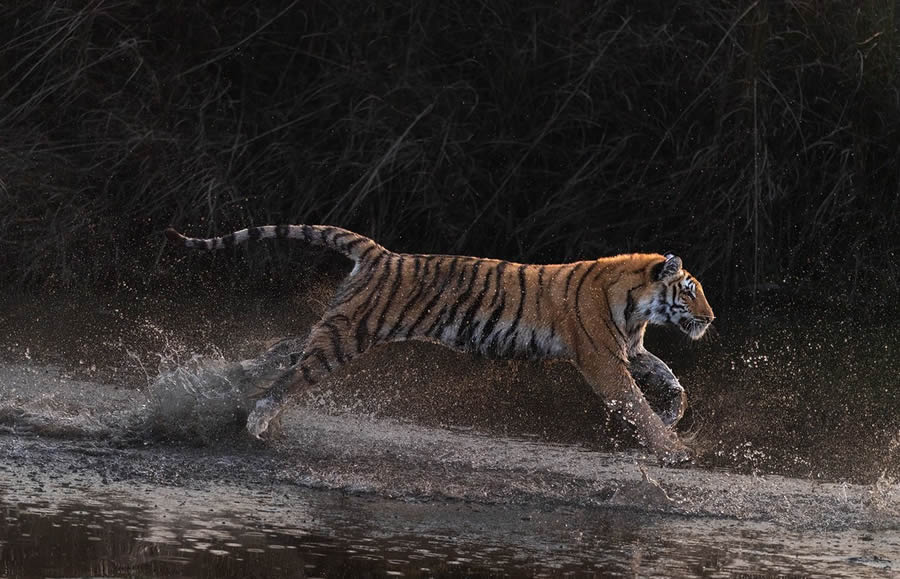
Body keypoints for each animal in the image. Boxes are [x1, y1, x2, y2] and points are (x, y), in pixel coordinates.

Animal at [165, 224, 712, 464]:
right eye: (689, 290)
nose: (710, 319)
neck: (638, 304)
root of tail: (379, 254)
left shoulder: (630, 352)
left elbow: (673, 382)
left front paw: (672, 419)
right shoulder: (602, 360)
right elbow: (636, 404)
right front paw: (674, 448)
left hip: (337, 321)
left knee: (284, 347)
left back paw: (230, 383)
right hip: (347, 335)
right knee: (290, 376)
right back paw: (255, 423)